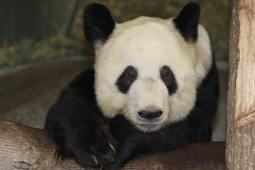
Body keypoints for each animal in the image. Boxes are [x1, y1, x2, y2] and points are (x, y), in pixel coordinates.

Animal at [43, 1, 219, 169]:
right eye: (129, 74)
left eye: (166, 74)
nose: (150, 114)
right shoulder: (89, 82)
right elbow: (68, 106)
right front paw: (95, 150)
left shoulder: (204, 87)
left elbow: (181, 129)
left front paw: (115, 149)